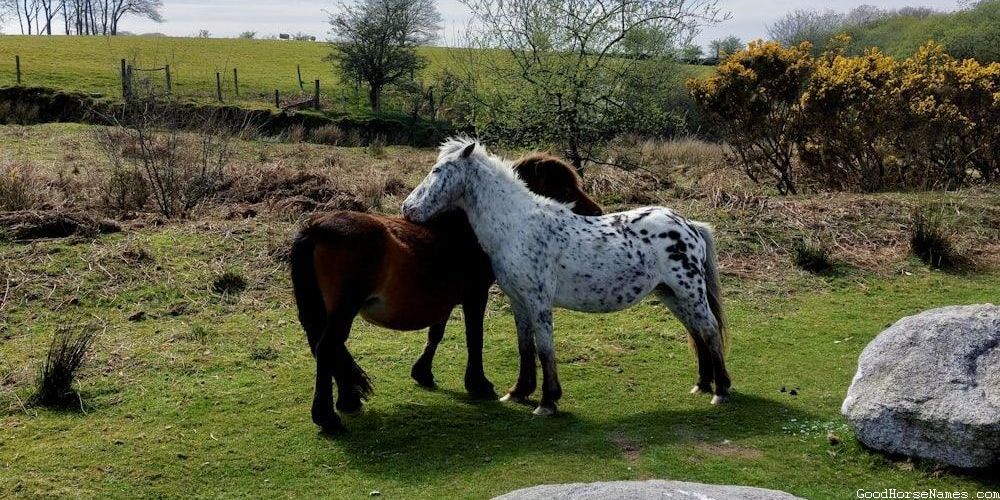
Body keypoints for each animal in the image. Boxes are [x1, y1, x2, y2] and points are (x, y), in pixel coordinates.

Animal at [291, 152, 602, 433]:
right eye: (564, 189)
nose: (597, 212)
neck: (467, 229)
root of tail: (315, 229)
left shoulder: (444, 299)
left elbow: (436, 333)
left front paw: (423, 373)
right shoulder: (475, 294)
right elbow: (474, 337)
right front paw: (478, 384)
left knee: (328, 350)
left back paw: (347, 401)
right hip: (343, 311)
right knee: (327, 348)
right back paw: (328, 418)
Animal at [402, 138, 730, 417]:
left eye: (437, 171)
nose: (407, 208)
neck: (518, 227)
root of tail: (690, 225)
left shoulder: (538, 302)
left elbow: (545, 348)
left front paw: (547, 401)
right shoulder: (519, 303)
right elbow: (525, 346)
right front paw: (518, 392)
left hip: (689, 293)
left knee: (710, 330)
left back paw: (721, 391)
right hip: (672, 296)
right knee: (696, 332)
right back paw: (702, 385)